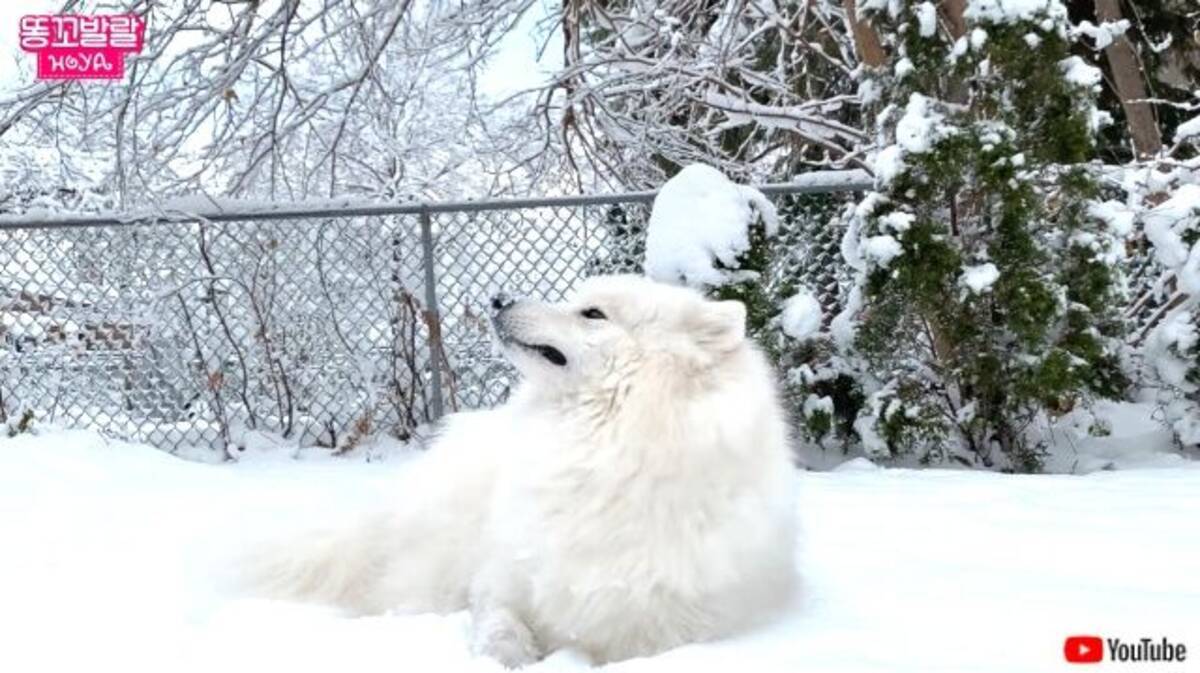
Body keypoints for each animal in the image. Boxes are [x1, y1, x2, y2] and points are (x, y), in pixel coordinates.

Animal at [246, 275, 796, 662]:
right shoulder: (501, 579)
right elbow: (499, 625)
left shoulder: (655, 629)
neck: (596, 447)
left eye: (592, 313)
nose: (498, 298)